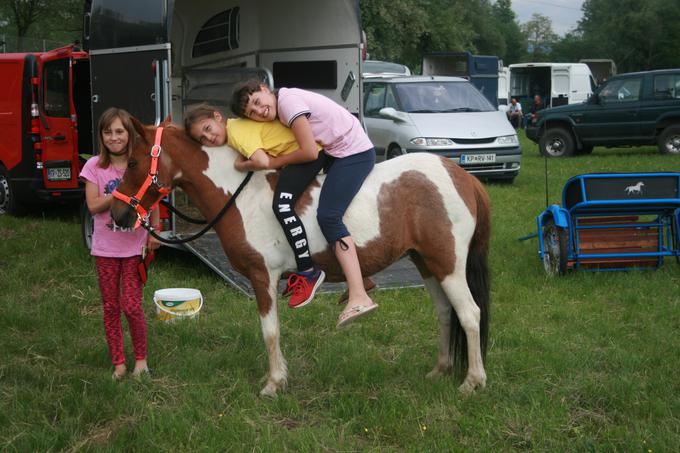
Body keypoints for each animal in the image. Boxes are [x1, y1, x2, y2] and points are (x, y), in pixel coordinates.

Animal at [113, 120, 494, 396]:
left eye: (132, 161)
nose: (120, 214)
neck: (240, 196)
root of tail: (462, 177)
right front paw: (277, 378)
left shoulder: (262, 276)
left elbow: (269, 330)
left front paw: (272, 384)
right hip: (427, 263)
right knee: (445, 313)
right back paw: (440, 370)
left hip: (448, 265)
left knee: (469, 314)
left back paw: (472, 382)